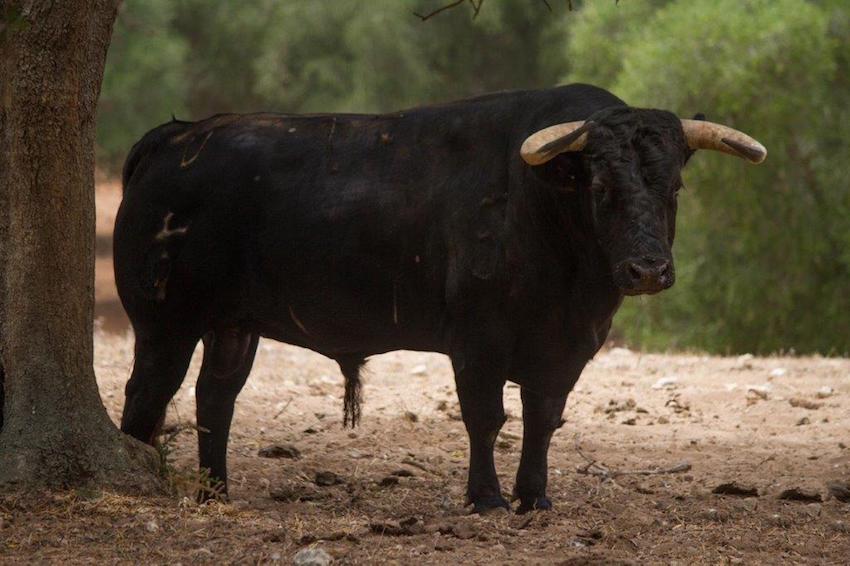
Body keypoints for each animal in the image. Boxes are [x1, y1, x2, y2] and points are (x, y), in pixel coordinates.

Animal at [114, 83, 760, 516]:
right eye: (600, 187)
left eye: (674, 186)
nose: (648, 270)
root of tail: (178, 137)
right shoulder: (478, 341)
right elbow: (486, 416)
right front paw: (487, 499)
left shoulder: (565, 349)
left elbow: (542, 418)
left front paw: (535, 498)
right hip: (165, 323)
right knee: (149, 395)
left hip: (233, 326)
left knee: (214, 399)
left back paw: (216, 493)